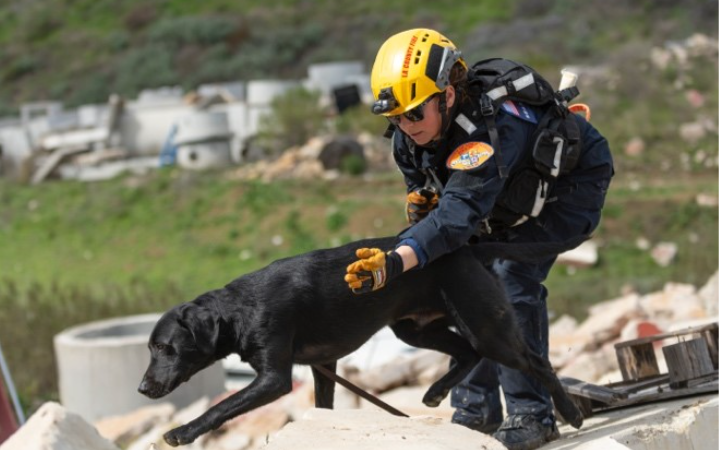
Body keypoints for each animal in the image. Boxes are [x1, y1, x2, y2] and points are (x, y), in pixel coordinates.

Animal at [139, 237, 584, 444]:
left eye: (163, 347)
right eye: (151, 348)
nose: (142, 389)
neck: (237, 311)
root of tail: (467, 249)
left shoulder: (275, 378)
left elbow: (222, 406)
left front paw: (184, 431)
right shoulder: (324, 367)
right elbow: (323, 408)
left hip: (484, 325)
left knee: (534, 361)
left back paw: (571, 412)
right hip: (414, 328)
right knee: (467, 353)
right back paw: (435, 393)